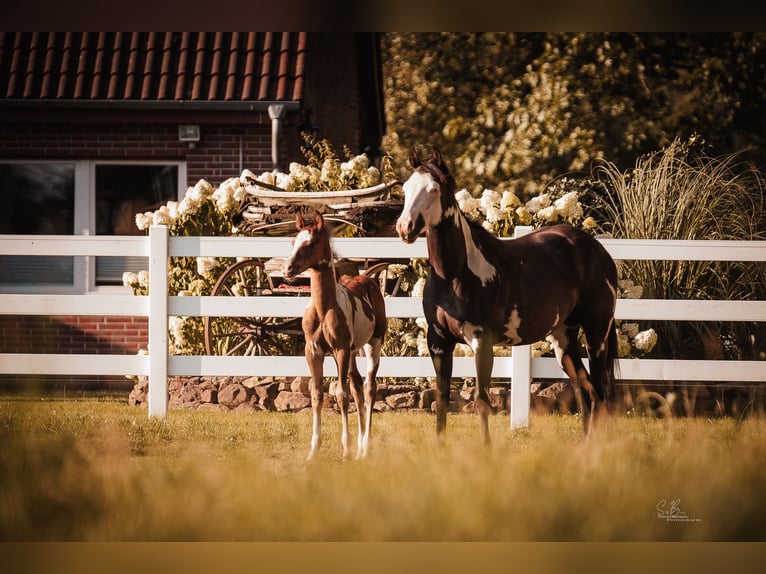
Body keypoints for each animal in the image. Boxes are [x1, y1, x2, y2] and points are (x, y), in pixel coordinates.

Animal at [282, 211, 387, 460]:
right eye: (293, 241)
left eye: (311, 243)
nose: (287, 269)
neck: (324, 307)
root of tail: (369, 279)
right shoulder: (313, 350)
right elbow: (317, 394)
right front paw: (313, 452)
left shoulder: (340, 349)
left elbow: (341, 394)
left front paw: (346, 450)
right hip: (354, 350)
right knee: (357, 386)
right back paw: (360, 448)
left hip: (373, 344)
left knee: (369, 388)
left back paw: (365, 448)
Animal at [395, 148, 619, 440]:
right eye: (406, 188)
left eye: (433, 189)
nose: (404, 227)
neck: (456, 275)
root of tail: (598, 251)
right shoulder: (438, 341)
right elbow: (442, 399)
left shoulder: (481, 341)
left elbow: (481, 401)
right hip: (563, 339)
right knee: (587, 393)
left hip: (596, 334)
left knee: (600, 394)